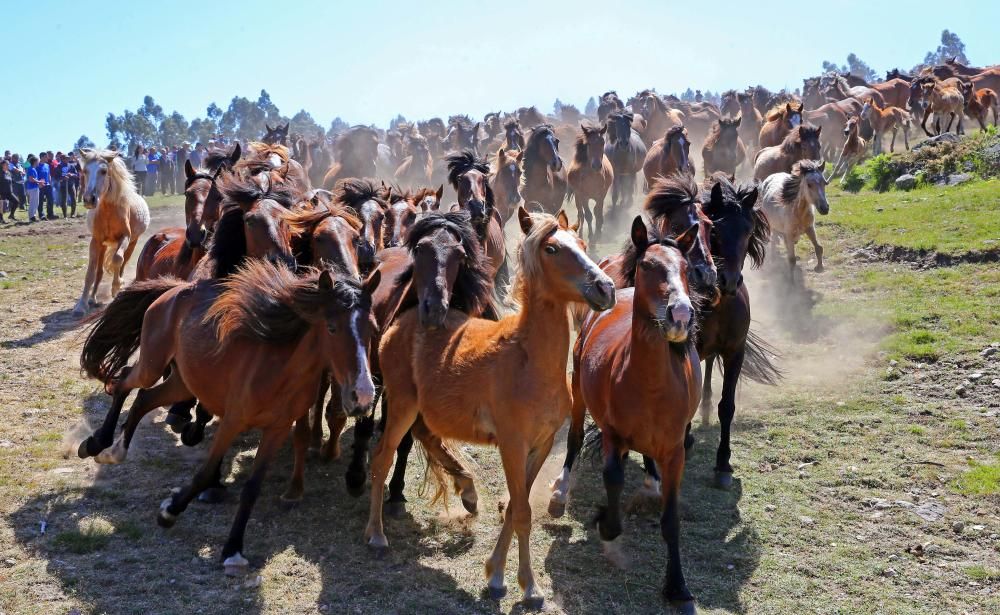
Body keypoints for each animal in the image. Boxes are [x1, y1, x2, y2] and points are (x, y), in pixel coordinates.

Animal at [74, 147, 151, 316]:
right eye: (85, 171)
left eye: (103, 171)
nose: (89, 199)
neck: (109, 212)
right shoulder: (96, 241)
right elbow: (91, 272)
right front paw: (81, 305)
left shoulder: (125, 237)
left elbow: (117, 259)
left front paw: (116, 286)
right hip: (103, 246)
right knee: (99, 271)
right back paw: (93, 298)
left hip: (132, 242)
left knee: (122, 263)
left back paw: (118, 285)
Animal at [78, 262, 378, 576]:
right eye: (332, 327)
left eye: (372, 328)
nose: (363, 395)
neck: (281, 371)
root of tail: (174, 289)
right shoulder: (233, 421)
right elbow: (206, 473)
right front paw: (169, 512)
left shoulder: (277, 429)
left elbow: (253, 488)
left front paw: (233, 549)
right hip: (153, 364)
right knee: (124, 382)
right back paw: (97, 444)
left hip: (183, 382)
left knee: (143, 399)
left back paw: (116, 449)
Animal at [368, 206, 616, 608]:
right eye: (551, 248)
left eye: (580, 243)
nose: (605, 288)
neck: (528, 361)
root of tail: (403, 321)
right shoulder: (512, 445)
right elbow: (523, 513)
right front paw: (528, 587)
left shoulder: (540, 446)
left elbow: (516, 506)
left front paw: (499, 576)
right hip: (401, 406)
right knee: (381, 459)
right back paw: (376, 535)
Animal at [552, 215, 700, 612]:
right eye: (649, 266)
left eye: (686, 269)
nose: (681, 314)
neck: (649, 383)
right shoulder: (613, 435)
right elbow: (613, 478)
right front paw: (605, 523)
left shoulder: (674, 451)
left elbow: (671, 518)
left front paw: (677, 586)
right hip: (578, 395)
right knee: (574, 440)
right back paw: (560, 491)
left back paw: (650, 481)